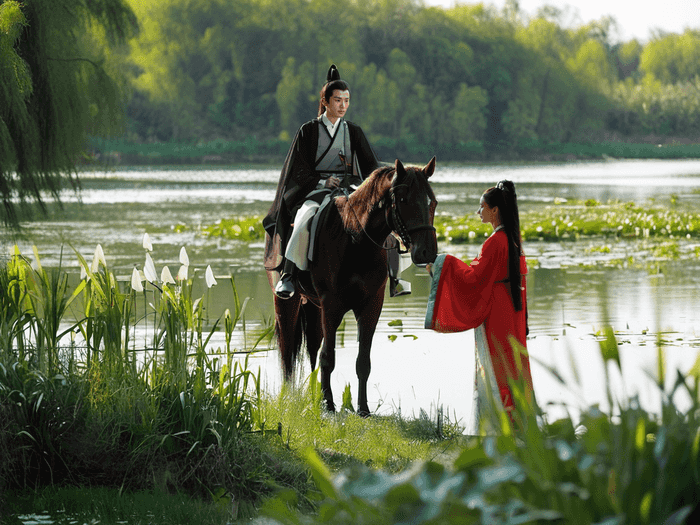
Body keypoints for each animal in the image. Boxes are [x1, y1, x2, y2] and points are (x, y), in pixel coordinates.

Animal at [268, 158, 438, 416]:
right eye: (403, 200)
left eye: (433, 201)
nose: (427, 252)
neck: (356, 239)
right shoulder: (331, 305)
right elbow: (328, 357)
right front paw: (329, 406)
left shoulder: (370, 306)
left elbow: (363, 361)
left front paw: (363, 408)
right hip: (288, 302)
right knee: (287, 351)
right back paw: (291, 398)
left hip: (314, 307)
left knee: (312, 349)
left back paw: (314, 395)